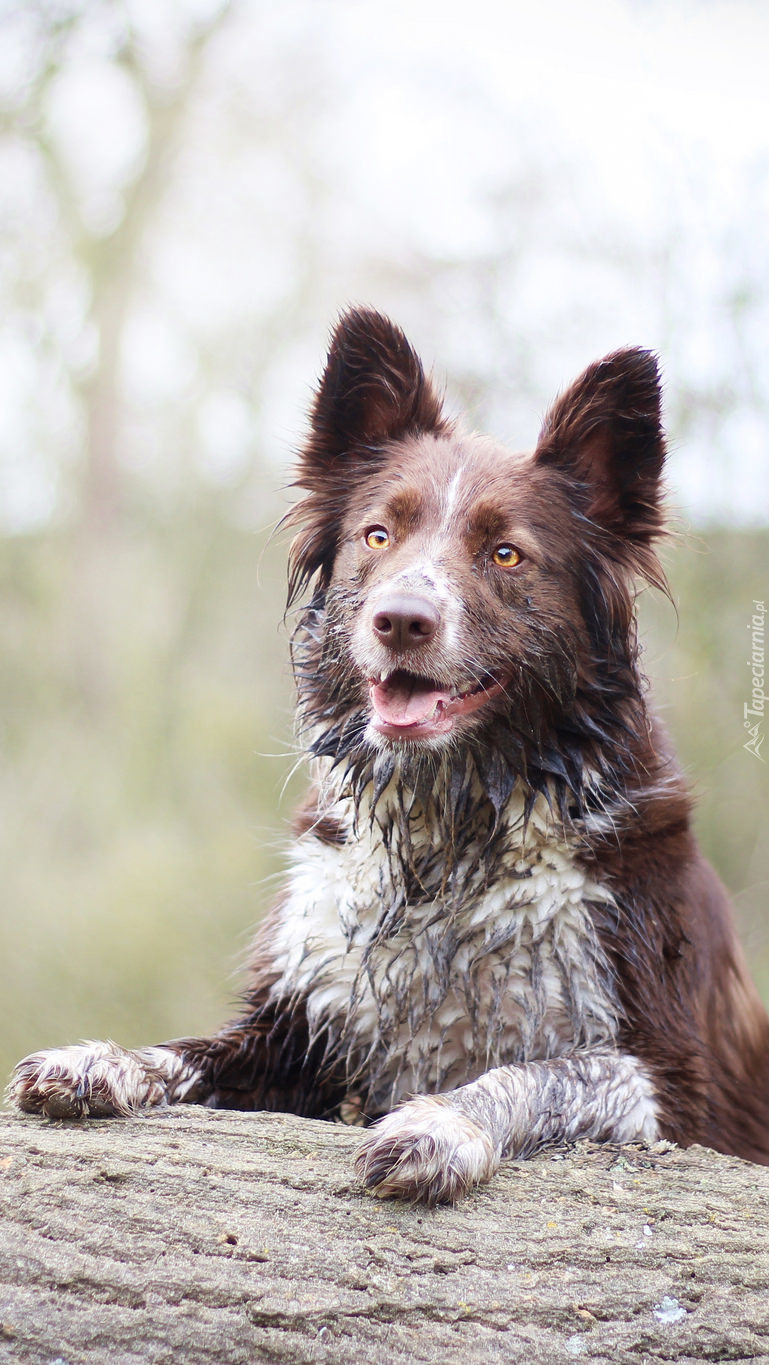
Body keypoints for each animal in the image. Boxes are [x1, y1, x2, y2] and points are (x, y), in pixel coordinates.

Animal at [10, 312, 769, 1206]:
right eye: (378, 534)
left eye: (504, 554)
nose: (400, 619)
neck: (446, 839)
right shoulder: (303, 1025)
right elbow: (189, 1049)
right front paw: (99, 1060)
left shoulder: (673, 1080)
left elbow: (546, 1070)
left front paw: (442, 1125)